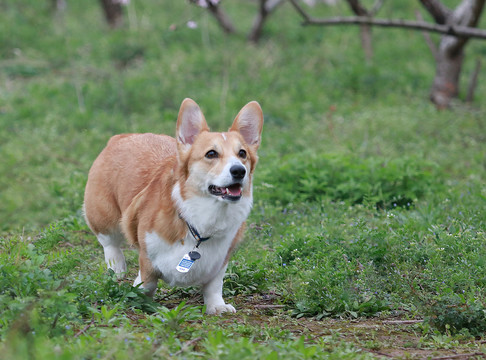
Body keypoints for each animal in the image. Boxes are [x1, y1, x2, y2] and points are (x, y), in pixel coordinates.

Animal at [85, 97, 264, 312]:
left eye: (242, 153)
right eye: (211, 154)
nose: (239, 171)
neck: (205, 218)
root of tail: (124, 136)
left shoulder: (221, 260)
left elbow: (214, 284)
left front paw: (217, 306)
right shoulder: (147, 256)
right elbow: (148, 282)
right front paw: (137, 296)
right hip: (104, 216)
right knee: (110, 244)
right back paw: (117, 269)